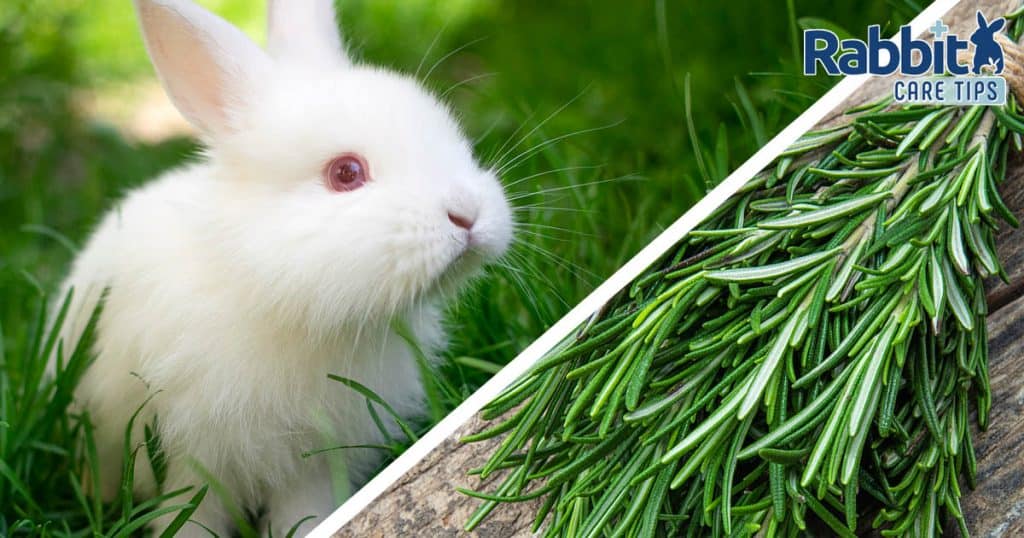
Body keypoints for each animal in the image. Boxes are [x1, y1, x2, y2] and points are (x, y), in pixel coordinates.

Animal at [50, 0, 513, 536]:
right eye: (346, 173)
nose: (468, 216)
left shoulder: (310, 464)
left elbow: (303, 513)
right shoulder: (191, 462)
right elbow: (188, 518)